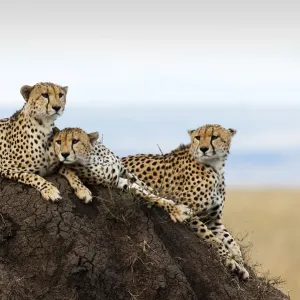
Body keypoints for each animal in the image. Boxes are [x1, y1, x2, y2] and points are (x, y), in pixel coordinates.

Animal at [52, 127, 191, 223]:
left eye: (75, 141)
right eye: (58, 142)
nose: (64, 154)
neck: (95, 157)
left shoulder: (124, 172)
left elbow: (147, 188)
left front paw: (168, 199)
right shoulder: (116, 182)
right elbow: (145, 194)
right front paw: (178, 210)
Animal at [122, 125, 251, 282]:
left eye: (214, 137)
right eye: (197, 137)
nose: (203, 149)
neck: (216, 168)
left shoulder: (214, 220)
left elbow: (232, 242)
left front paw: (240, 262)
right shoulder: (188, 211)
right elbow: (213, 239)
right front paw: (230, 261)